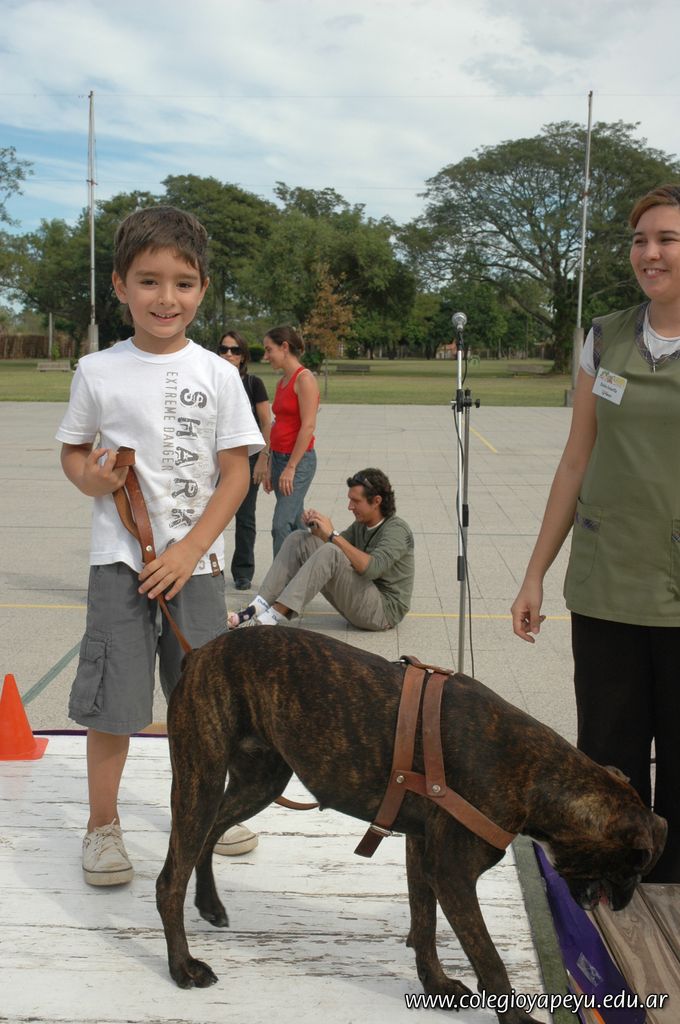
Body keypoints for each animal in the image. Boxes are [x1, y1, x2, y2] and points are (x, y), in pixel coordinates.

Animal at [156, 628, 666, 1024]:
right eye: (634, 869)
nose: (625, 904)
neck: (536, 773)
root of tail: (200, 652)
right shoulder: (453, 875)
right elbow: (490, 960)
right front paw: (515, 1018)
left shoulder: (421, 849)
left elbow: (424, 924)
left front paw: (434, 983)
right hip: (201, 780)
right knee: (169, 880)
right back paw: (183, 966)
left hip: (258, 783)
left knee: (208, 838)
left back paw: (209, 904)